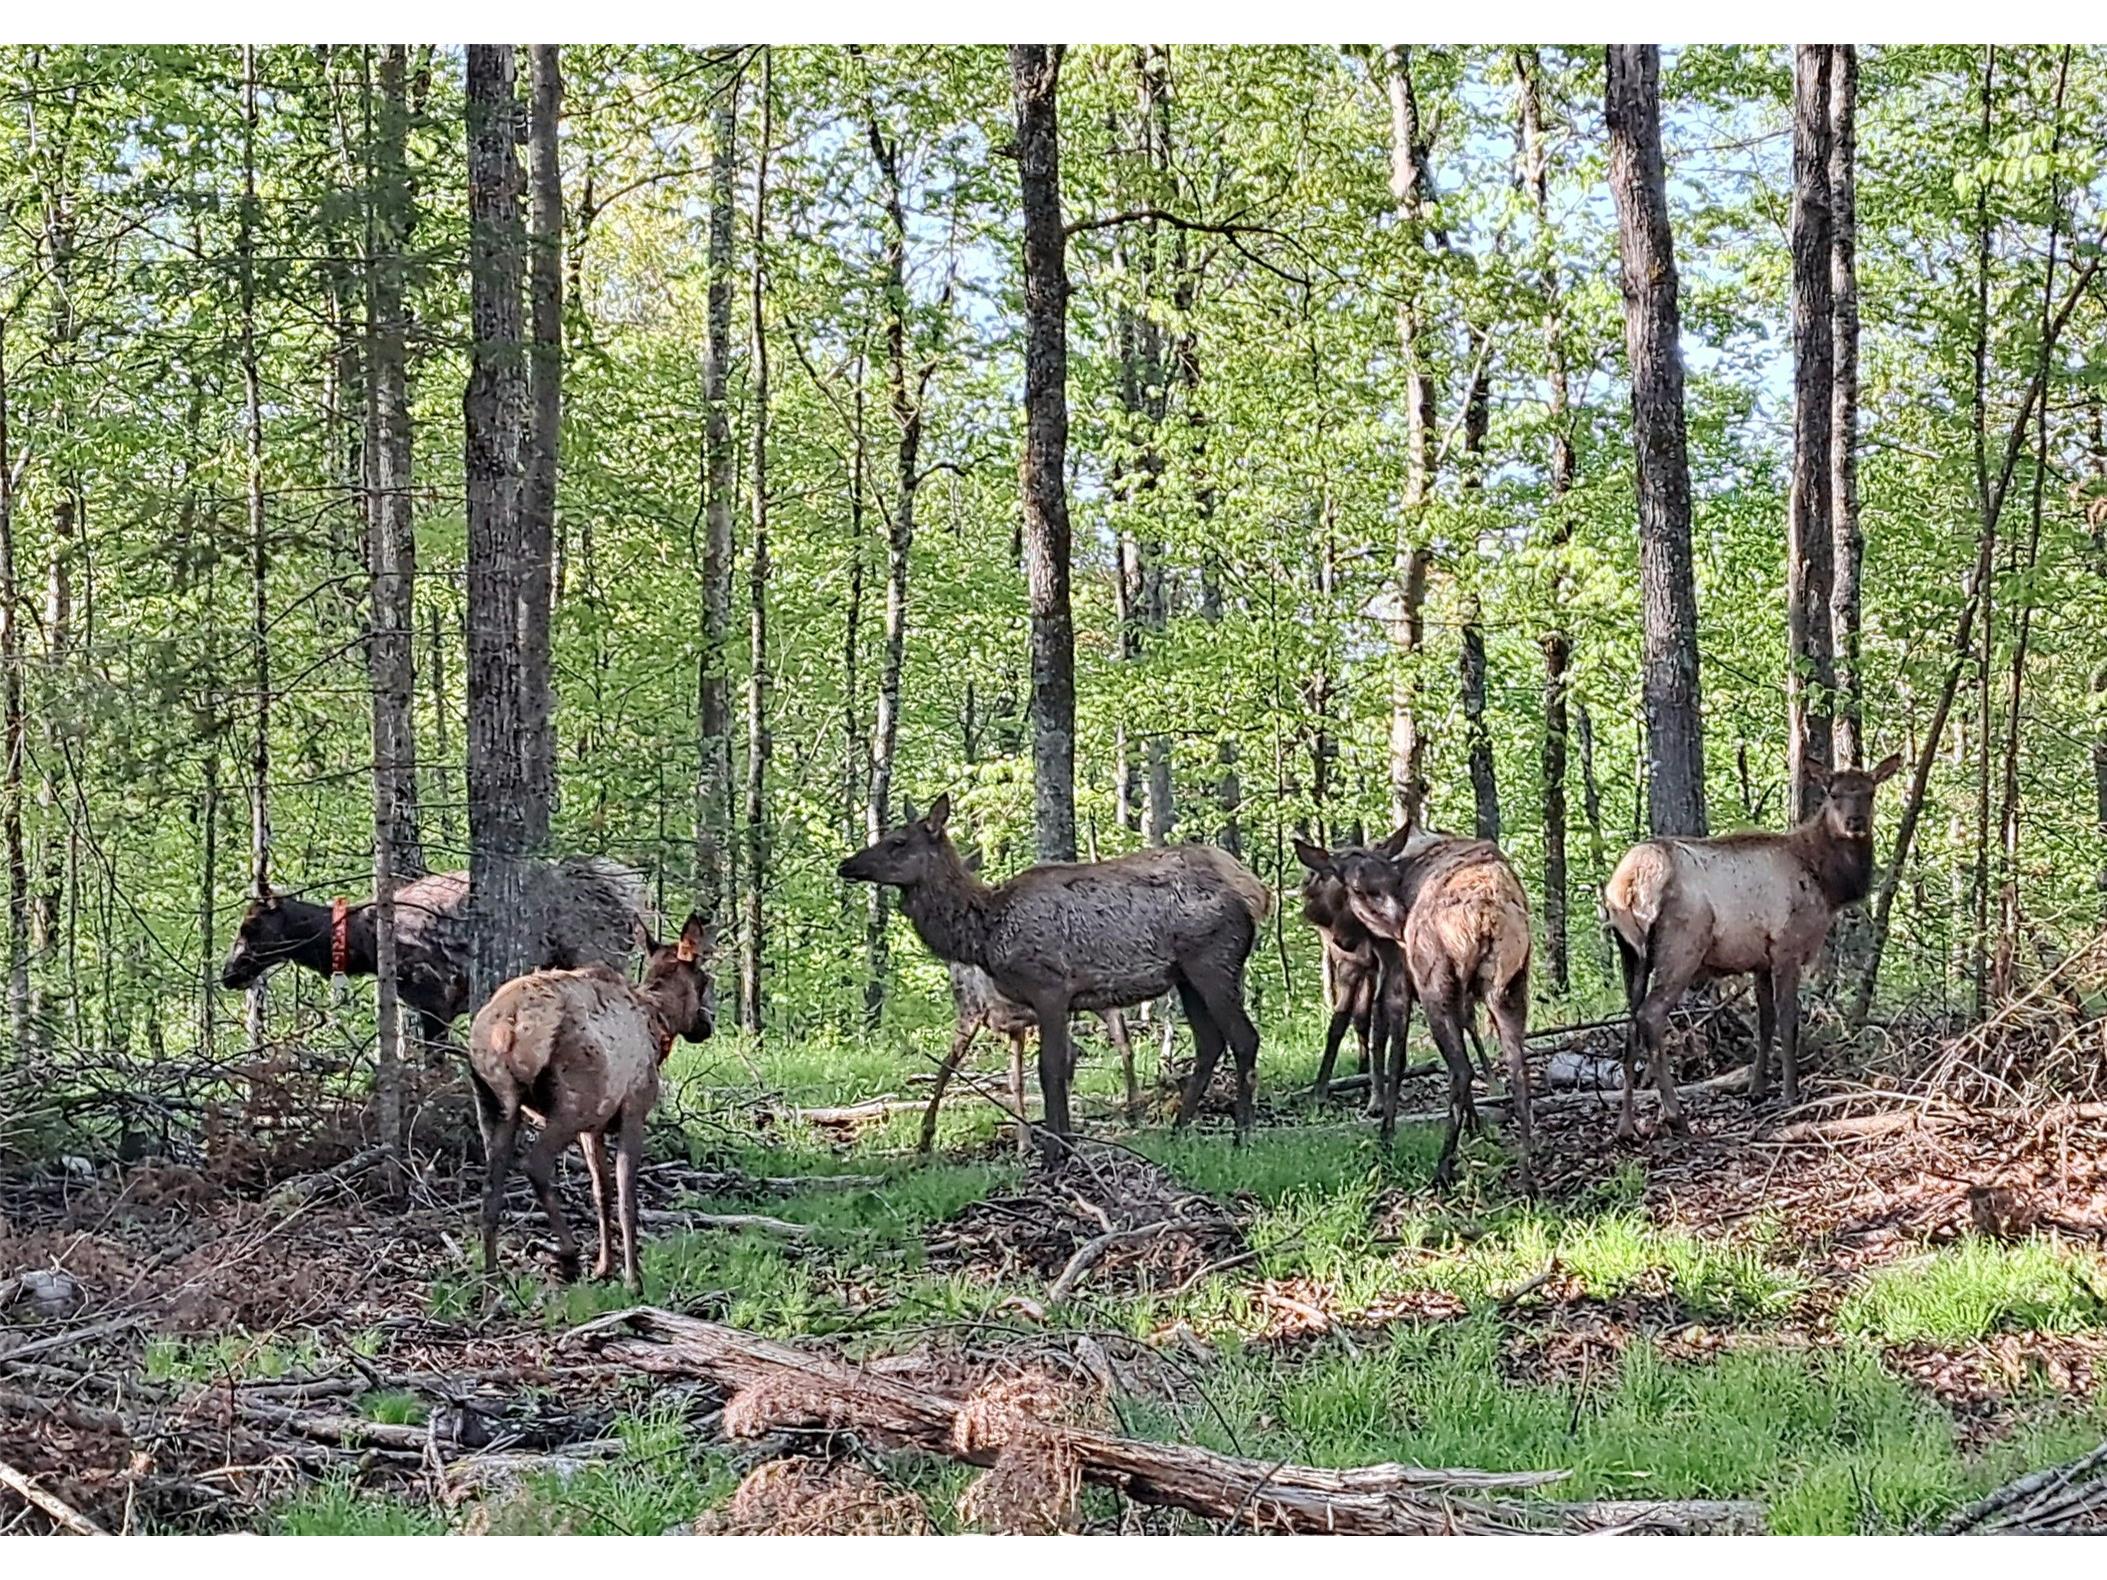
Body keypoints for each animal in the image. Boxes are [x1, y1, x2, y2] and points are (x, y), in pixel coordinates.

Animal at [220, 856, 650, 1043]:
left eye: (250, 926)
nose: (228, 972)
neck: (362, 946)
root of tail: (630, 894)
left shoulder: (434, 997)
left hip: (597, 957)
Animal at [466, 913, 713, 1294]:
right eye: (704, 979)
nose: (706, 1025)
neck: (658, 1020)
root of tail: (507, 1027)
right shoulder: (632, 1112)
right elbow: (626, 1196)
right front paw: (632, 1277)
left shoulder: (593, 1128)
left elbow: (601, 1192)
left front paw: (604, 1267)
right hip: (569, 1104)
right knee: (535, 1164)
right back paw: (566, 1254)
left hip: (494, 1104)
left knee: (490, 1191)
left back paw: (491, 1280)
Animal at [1320, 828, 1536, 1193]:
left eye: (1350, 890)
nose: (1341, 941)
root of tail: (1487, 914)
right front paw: (1477, 1126)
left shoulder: (1398, 973)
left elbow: (1396, 1056)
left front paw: (1386, 1136)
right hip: (1510, 988)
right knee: (1518, 1073)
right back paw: (1526, 1177)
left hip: (1435, 983)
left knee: (1461, 1070)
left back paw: (1442, 1170)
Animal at [1603, 753, 1902, 1138]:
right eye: (1833, 794)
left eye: (1870, 792)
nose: (1855, 822)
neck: (1827, 884)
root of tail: (1627, 884)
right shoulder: (1788, 946)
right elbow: (1789, 1020)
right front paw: (1790, 1093)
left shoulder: (1761, 959)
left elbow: (1765, 1021)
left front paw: (1757, 1088)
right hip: (1682, 945)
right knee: (1650, 1015)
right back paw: (1675, 1114)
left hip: (1631, 953)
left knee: (1629, 1022)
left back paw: (1626, 1125)